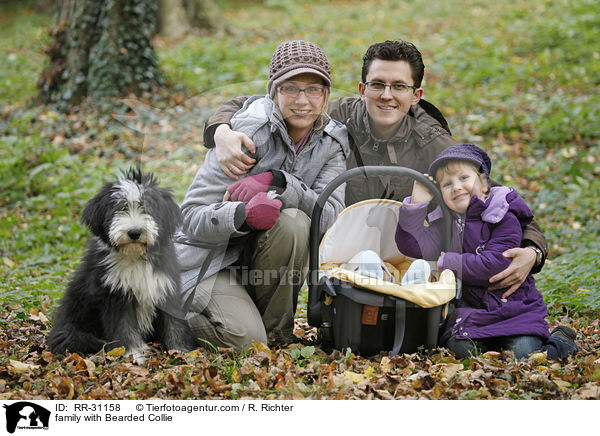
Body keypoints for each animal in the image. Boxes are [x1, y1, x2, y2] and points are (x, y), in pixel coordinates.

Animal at [48, 169, 197, 362]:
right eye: (120, 208)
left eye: (147, 208)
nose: (134, 232)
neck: (135, 257)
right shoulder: (116, 295)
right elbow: (124, 327)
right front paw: (133, 354)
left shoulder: (165, 288)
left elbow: (174, 324)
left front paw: (182, 351)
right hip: (73, 330)